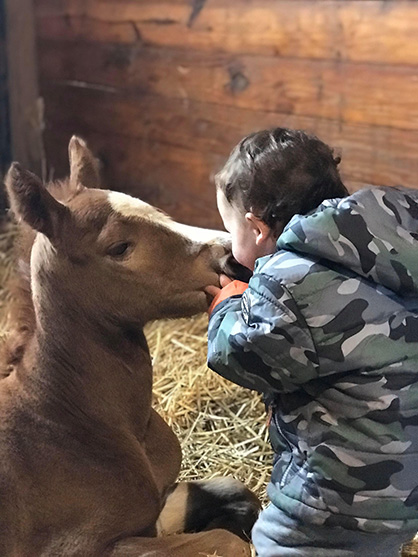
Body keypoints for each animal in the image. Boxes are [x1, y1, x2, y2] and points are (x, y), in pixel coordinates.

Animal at [0, 136, 260, 556]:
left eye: (158, 212)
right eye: (120, 247)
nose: (231, 258)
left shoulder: (158, 502)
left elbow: (231, 489)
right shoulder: (83, 547)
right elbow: (225, 541)